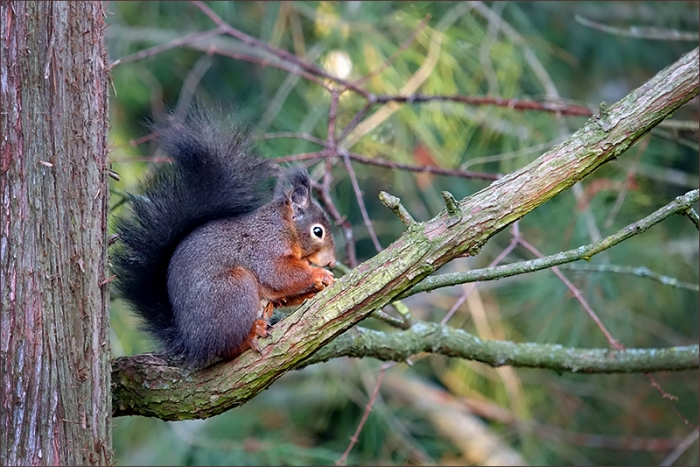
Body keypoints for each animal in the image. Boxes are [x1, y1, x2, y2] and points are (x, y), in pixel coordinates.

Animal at [111, 115, 336, 368]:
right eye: (317, 231)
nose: (331, 262)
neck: (285, 227)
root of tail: (193, 343)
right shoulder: (265, 247)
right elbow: (278, 275)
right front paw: (318, 274)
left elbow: (283, 293)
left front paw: (315, 287)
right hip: (234, 288)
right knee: (228, 349)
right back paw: (251, 335)